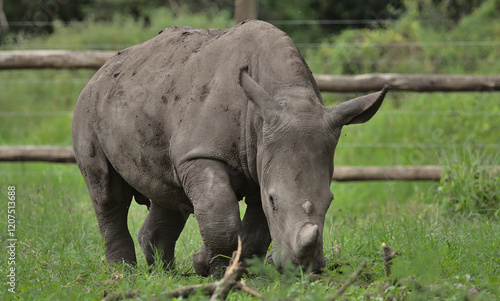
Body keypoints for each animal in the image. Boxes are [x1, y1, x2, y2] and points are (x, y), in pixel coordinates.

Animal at [72, 19, 388, 276]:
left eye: (330, 201)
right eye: (274, 200)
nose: (304, 269)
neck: (286, 93)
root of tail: (102, 69)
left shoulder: (263, 157)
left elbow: (256, 227)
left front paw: (241, 270)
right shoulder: (202, 153)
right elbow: (221, 214)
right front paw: (209, 267)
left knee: (168, 194)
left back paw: (164, 274)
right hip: (89, 104)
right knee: (108, 194)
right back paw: (123, 273)